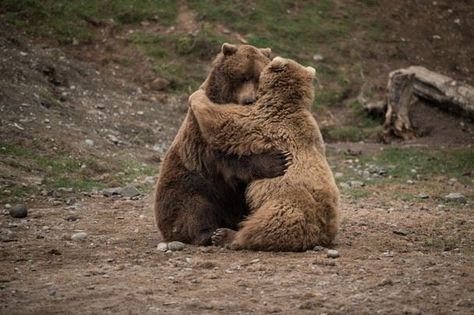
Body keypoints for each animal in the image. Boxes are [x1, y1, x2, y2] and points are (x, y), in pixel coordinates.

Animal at [156, 43, 288, 246]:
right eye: (241, 77)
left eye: (258, 78)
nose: (249, 100)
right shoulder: (203, 133)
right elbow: (226, 158)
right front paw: (275, 161)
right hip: (187, 182)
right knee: (193, 205)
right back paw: (208, 233)